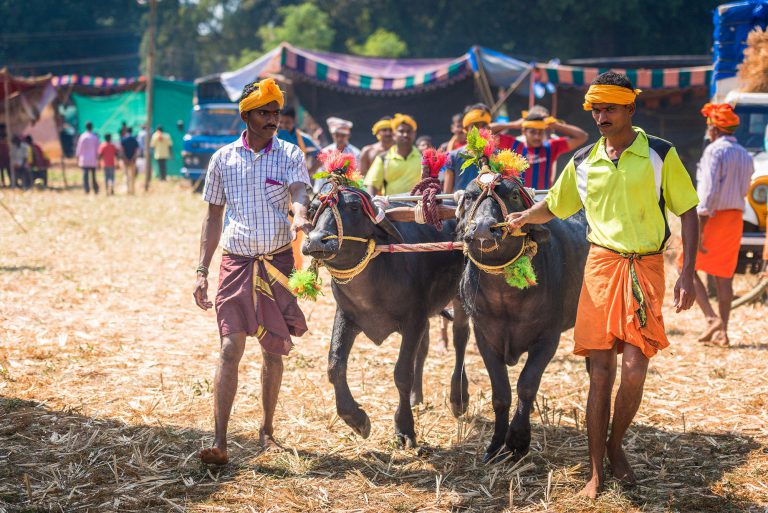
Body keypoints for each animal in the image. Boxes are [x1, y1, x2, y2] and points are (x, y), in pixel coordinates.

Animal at [302, 186, 468, 446]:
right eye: (312, 209)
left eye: (354, 207)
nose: (317, 240)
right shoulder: (346, 316)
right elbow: (334, 365)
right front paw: (357, 419)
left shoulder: (413, 320)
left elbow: (402, 373)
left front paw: (404, 428)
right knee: (425, 347)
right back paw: (416, 398)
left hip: (460, 295)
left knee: (460, 337)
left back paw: (459, 398)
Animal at [456, 174, 588, 462]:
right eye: (470, 196)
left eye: (514, 195)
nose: (484, 229)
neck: (505, 298)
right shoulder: (484, 337)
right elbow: (501, 393)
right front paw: (496, 444)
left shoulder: (548, 338)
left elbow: (527, 384)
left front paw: (518, 440)